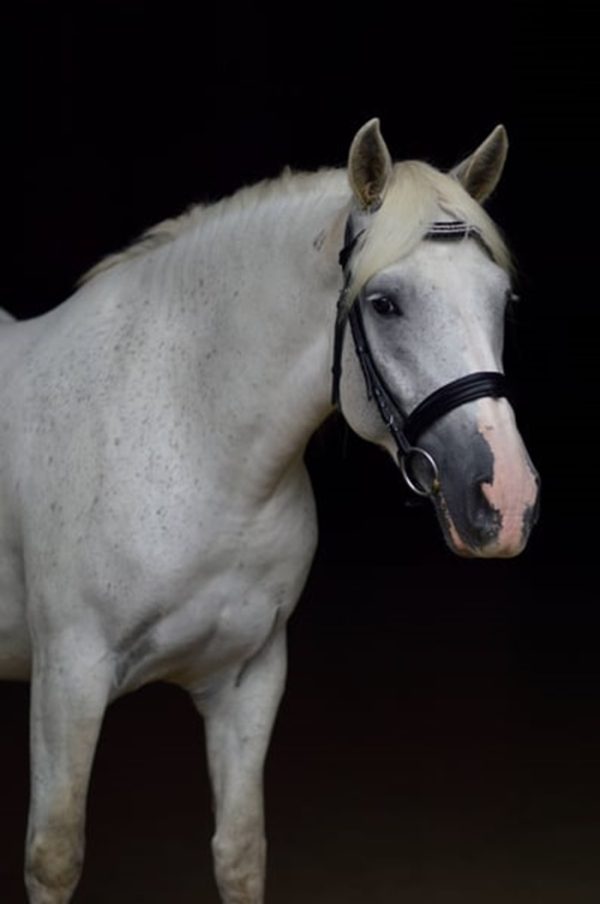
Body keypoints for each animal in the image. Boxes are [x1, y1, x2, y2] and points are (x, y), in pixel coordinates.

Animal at [0, 119, 539, 903]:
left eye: (502, 299)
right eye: (385, 303)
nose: (507, 497)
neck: (191, 434)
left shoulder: (248, 679)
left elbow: (240, 850)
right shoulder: (68, 677)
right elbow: (55, 854)